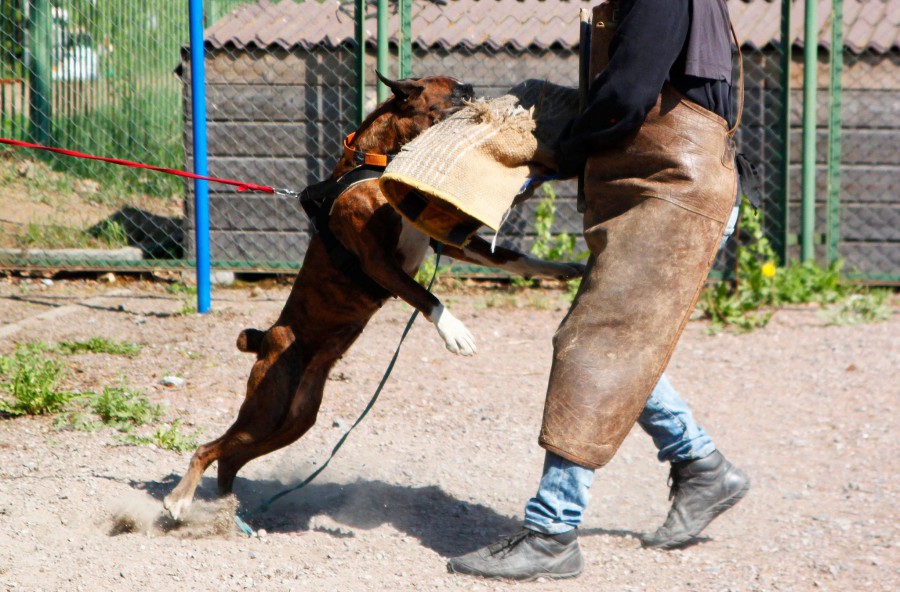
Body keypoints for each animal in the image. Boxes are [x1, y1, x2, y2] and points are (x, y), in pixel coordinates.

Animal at [163, 74, 584, 520]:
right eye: (456, 92)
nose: (476, 88)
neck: (377, 161)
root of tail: (266, 337)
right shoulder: (378, 261)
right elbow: (426, 297)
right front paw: (455, 332)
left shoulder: (443, 240)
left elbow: (513, 259)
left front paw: (562, 268)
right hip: (267, 406)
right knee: (210, 448)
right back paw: (180, 500)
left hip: (293, 419)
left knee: (232, 454)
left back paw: (227, 506)